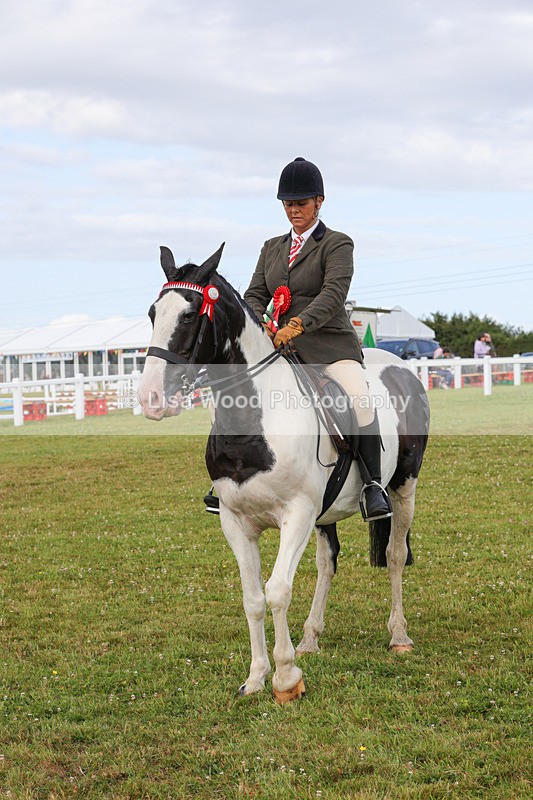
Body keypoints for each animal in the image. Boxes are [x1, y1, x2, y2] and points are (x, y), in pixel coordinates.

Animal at [139, 244, 430, 703]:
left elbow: (277, 591)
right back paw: (310, 638)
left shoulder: (297, 514)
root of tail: (399, 365)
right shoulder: (236, 522)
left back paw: (398, 635)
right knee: (328, 562)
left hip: (404, 487)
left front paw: (286, 678)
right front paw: (257, 676)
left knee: (396, 554)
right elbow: (253, 598)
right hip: (326, 512)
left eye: (188, 316)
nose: (150, 398)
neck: (254, 420)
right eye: (153, 313)